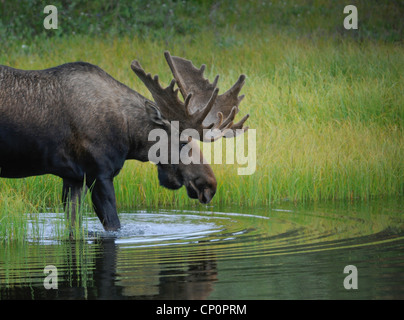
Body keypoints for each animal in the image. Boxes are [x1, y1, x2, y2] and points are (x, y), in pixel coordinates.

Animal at [0, 52, 249, 231]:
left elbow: (73, 227)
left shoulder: (73, 178)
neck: (128, 138)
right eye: (182, 142)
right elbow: (114, 227)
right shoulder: (99, 174)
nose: (209, 184)